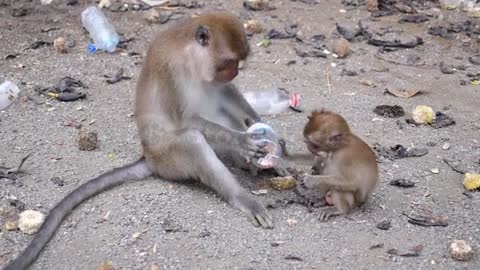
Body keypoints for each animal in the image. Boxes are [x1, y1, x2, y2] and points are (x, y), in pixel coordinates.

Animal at [4, 12, 274, 270]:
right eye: (227, 62)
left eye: (238, 63)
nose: (235, 72)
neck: (191, 57)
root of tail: (149, 159)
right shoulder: (171, 70)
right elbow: (185, 120)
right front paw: (241, 141)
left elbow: (225, 92)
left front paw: (262, 127)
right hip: (169, 160)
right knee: (194, 140)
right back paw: (242, 197)